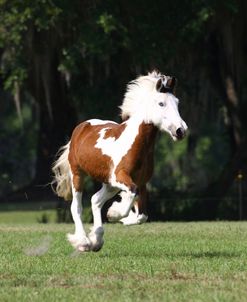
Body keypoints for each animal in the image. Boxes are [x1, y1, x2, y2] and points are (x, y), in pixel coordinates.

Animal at [52, 71, 187, 252]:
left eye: (177, 102)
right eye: (161, 103)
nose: (180, 130)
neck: (136, 144)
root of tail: (81, 127)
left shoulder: (141, 182)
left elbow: (142, 215)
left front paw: (115, 214)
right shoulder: (119, 177)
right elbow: (131, 193)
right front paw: (115, 213)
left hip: (108, 184)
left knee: (95, 200)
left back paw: (97, 240)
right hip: (78, 174)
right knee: (77, 207)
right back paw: (83, 242)